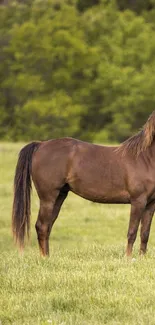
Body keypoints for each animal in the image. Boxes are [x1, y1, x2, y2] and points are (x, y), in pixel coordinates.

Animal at [12, 111, 155, 256]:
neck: (144, 159)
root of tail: (40, 145)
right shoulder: (138, 201)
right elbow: (132, 232)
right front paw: (128, 258)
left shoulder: (150, 204)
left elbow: (145, 234)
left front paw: (141, 257)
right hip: (48, 198)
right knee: (42, 226)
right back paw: (44, 258)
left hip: (59, 196)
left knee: (47, 226)